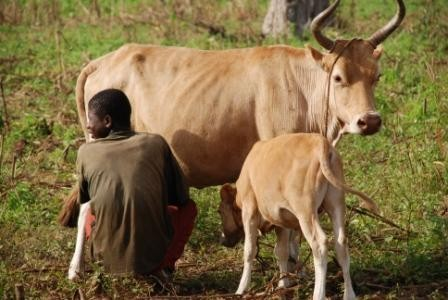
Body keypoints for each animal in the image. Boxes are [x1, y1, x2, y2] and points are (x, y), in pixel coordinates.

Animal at [217, 134, 378, 300]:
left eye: (219, 211)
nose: (222, 239)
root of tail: (320, 143)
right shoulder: (281, 219)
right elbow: (281, 251)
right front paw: (283, 284)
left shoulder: (249, 209)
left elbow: (249, 250)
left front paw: (241, 289)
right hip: (337, 204)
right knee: (341, 244)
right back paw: (349, 294)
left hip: (306, 211)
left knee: (320, 244)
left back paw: (318, 294)